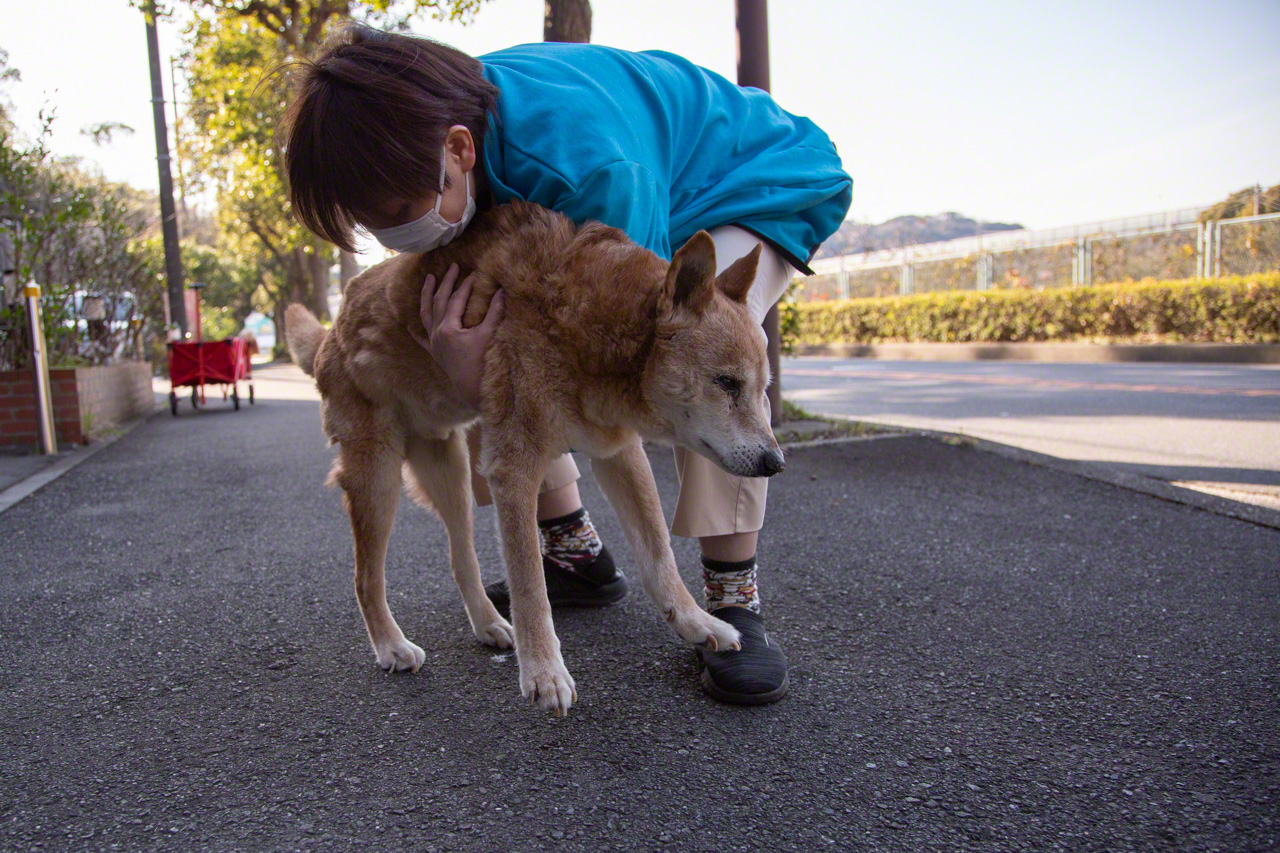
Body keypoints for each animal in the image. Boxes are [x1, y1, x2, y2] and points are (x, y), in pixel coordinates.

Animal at [288, 199, 778, 712]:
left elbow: (659, 554)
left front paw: (695, 623)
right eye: (727, 383)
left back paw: (488, 623)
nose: (775, 463)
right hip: (379, 480)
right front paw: (544, 671)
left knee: (461, 560)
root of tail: (333, 328)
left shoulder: (619, 452)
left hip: (453, 475)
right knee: (366, 578)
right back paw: (391, 644)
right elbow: (530, 586)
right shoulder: (516, 468)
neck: (585, 318)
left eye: (762, 389)